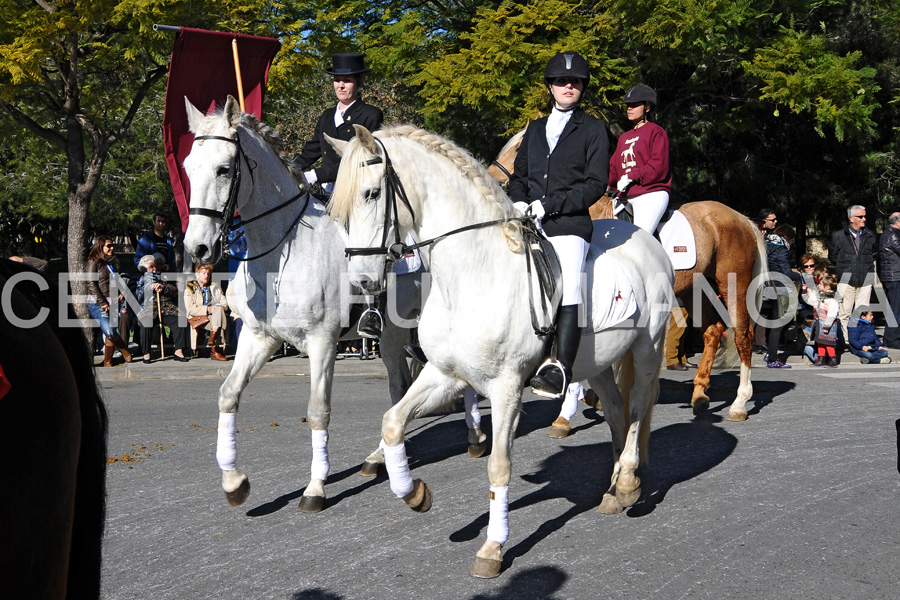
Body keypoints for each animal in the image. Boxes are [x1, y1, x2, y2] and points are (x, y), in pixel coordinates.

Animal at [182, 96, 472, 512]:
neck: (281, 254)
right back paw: (379, 458)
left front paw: (315, 488)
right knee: (400, 387)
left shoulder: (322, 341)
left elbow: (318, 411)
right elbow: (228, 395)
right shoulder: (258, 337)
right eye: (188, 168)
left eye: (223, 169)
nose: (198, 249)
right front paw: (234, 482)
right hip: (392, 335)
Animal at [326, 125, 672, 576]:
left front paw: (493, 547)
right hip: (595, 363)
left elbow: (499, 466)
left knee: (637, 407)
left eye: (370, 194)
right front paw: (414, 493)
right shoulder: (444, 373)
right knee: (615, 411)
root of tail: (649, 242)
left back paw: (629, 481)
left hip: (648, 347)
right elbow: (392, 422)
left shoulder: (506, 388)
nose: (362, 283)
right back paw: (615, 492)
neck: (471, 273)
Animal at [492, 141, 768, 422]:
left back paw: (739, 403)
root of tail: (741, 218)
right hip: (695, 290)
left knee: (742, 335)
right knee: (712, 332)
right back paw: (699, 396)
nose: (493, 177)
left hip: (733, 283)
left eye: (517, 150)